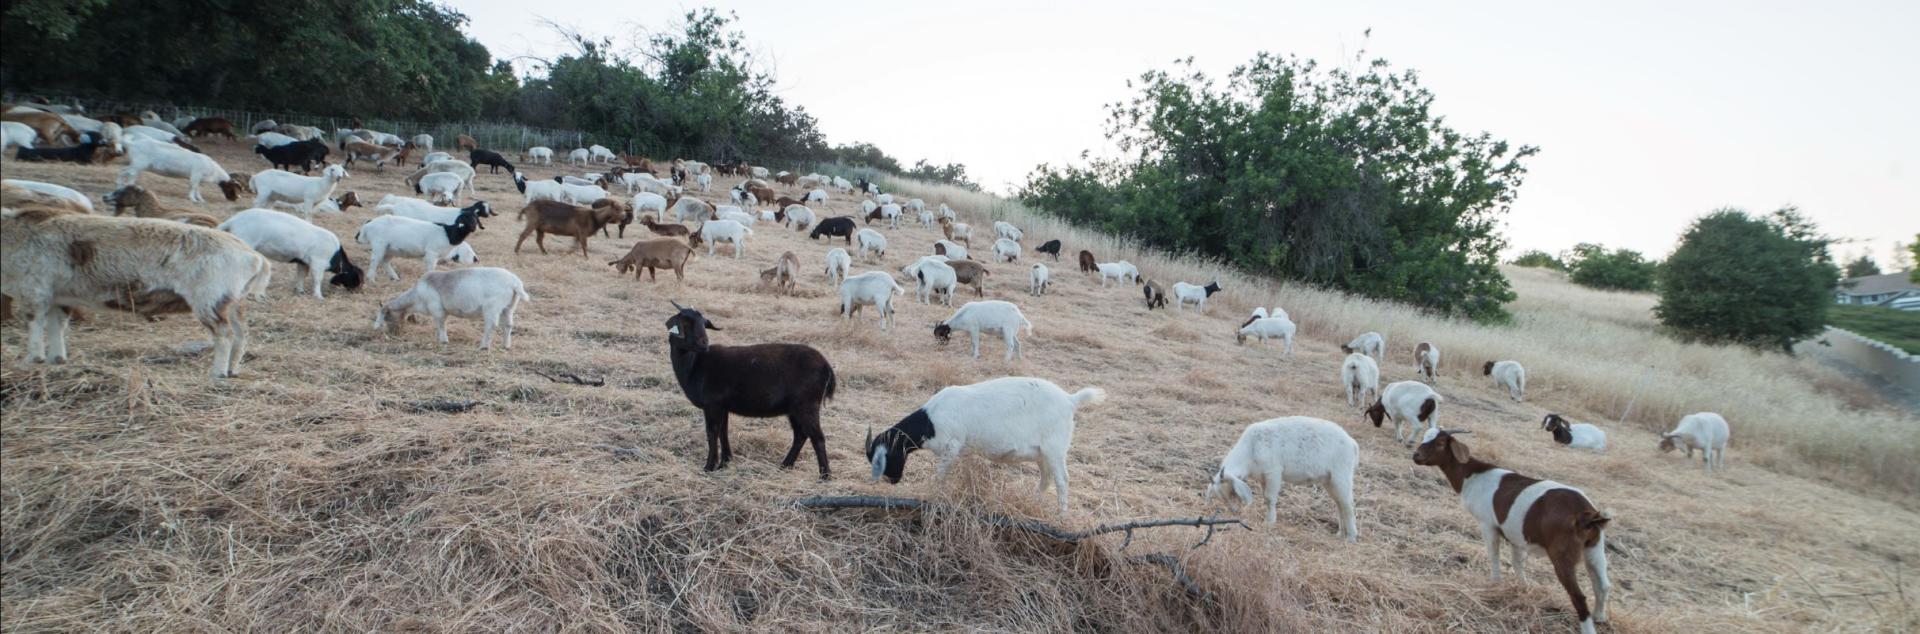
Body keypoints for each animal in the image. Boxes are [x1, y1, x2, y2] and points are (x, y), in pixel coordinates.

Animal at [0, 206, 272, 376]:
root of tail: (253, 256)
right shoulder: (59, 296)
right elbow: (58, 324)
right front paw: (57, 360)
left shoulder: (35, 289)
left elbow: (34, 322)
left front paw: (32, 359)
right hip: (233, 302)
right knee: (241, 334)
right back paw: (232, 370)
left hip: (210, 300)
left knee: (224, 334)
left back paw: (217, 373)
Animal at [219, 208, 364, 297]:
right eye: (356, 278)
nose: (358, 291)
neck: (335, 255)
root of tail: (232, 221)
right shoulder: (318, 262)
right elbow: (317, 279)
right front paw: (319, 296)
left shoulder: (303, 263)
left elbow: (301, 276)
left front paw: (300, 291)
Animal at [374, 263, 529, 349]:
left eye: (387, 317)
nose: (394, 333)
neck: (416, 297)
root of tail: (515, 283)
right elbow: (439, 325)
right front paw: (439, 338)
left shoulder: (437, 309)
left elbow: (441, 324)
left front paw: (443, 341)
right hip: (509, 307)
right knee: (508, 325)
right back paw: (506, 346)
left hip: (492, 307)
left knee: (491, 326)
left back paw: (484, 346)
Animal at [1205, 416, 1359, 541]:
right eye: (1222, 499)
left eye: (1232, 492)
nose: (1235, 512)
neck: (1251, 449)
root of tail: (1352, 443)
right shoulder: (1263, 477)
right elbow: (1265, 497)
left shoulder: (1273, 472)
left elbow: (1269, 498)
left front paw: (1269, 522)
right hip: (1329, 480)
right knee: (1340, 504)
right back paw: (1340, 534)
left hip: (1342, 475)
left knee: (1348, 505)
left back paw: (1351, 537)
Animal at [1405, 430, 1612, 634]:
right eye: (1425, 436)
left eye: (1440, 443)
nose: (1416, 456)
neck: (1472, 476)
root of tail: (1587, 514)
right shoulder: (1516, 535)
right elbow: (1517, 562)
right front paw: (1523, 586)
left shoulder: (1487, 524)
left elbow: (1493, 553)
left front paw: (1495, 582)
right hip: (1594, 547)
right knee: (1602, 585)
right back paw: (1599, 617)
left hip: (1562, 554)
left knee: (1578, 596)